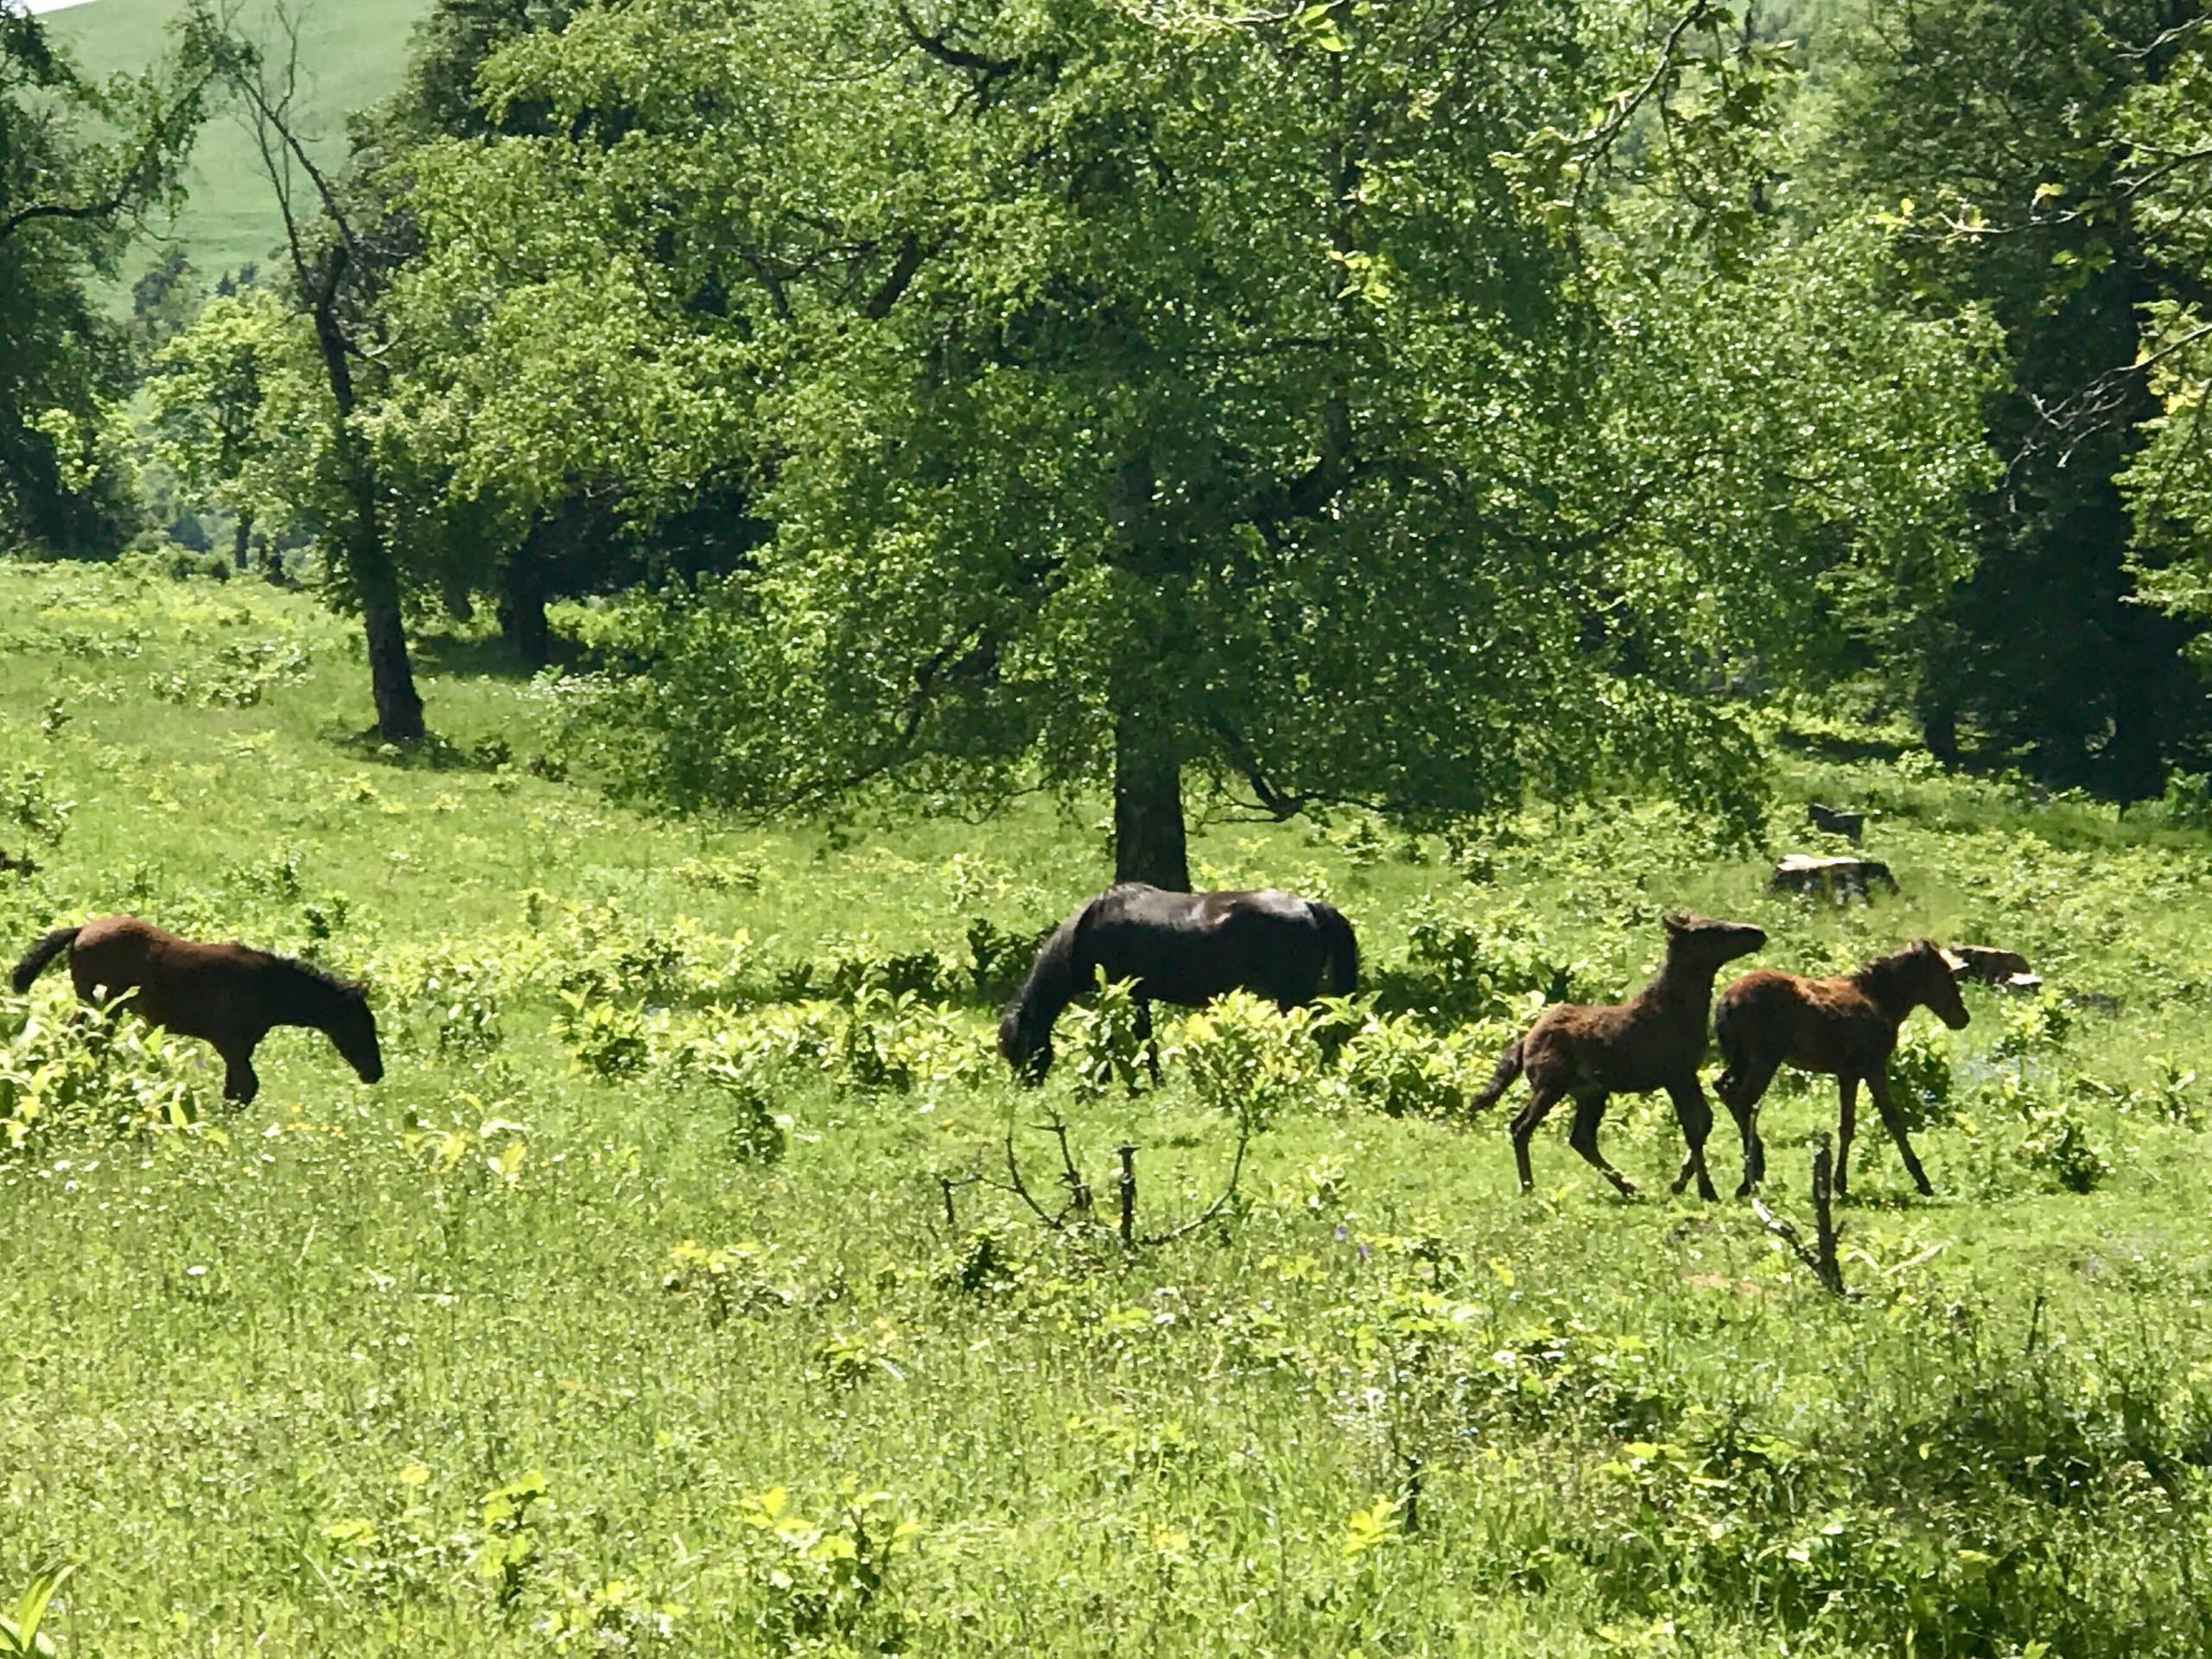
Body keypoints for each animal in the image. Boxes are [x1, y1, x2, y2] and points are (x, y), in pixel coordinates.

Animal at [10, 916, 384, 1105]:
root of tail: (82, 929)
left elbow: (236, 1090)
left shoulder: (240, 1048)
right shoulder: (230, 1043)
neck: (266, 986)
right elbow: (246, 1089)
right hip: (100, 1005)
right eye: (360, 1025)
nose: (375, 1073)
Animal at [996, 884, 1359, 1082]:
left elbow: (1128, 1038)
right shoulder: (1136, 996)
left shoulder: (1124, 993)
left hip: (1292, 996)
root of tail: (1309, 905)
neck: (1088, 931)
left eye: (1019, 1049)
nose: (1024, 1086)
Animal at [1470, 913, 1768, 1200]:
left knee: (1581, 1138)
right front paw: (1706, 1190)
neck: (1681, 1010)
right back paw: (1529, 1187)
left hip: (1590, 1092)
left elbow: (1704, 1122)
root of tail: (1524, 1043)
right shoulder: (1674, 1076)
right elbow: (1693, 1128)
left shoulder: (1687, 1074)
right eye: (1709, 931)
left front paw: (1681, 1183)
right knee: (1521, 1127)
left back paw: (1631, 1189)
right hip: (1550, 1085)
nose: (1758, 933)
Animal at [1712, 938, 1968, 1198]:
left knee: (1725, 1090)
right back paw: (1751, 1177)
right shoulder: (1873, 1067)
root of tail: (1726, 1003)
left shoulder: (1848, 1074)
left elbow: (1847, 1125)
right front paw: (1922, 1180)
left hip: (1740, 1059)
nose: (1962, 1018)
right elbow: (1892, 1120)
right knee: (1743, 1100)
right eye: (1945, 973)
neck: (1879, 999)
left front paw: (1840, 1183)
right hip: (1764, 1059)